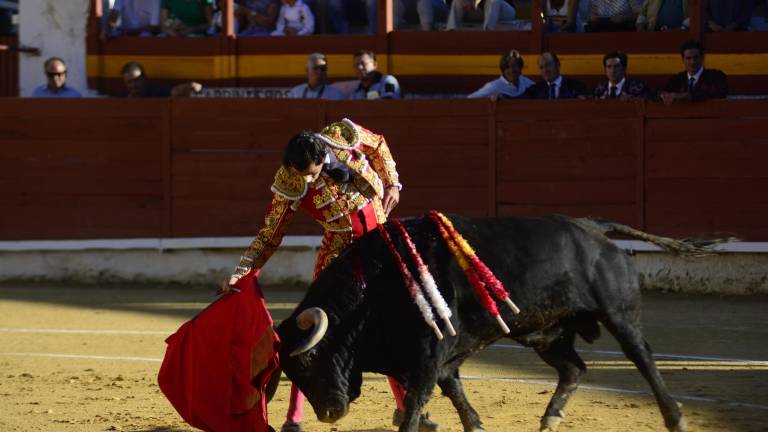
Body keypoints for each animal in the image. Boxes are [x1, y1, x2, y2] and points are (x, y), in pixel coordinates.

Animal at [272, 216, 708, 432]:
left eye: (308, 361)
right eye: (290, 372)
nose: (329, 413)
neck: (373, 287)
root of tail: (594, 228)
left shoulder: (428, 352)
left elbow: (416, 401)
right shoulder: (442, 354)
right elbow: (453, 389)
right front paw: (476, 426)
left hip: (618, 314)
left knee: (642, 358)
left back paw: (676, 418)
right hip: (546, 331)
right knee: (574, 368)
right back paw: (549, 419)